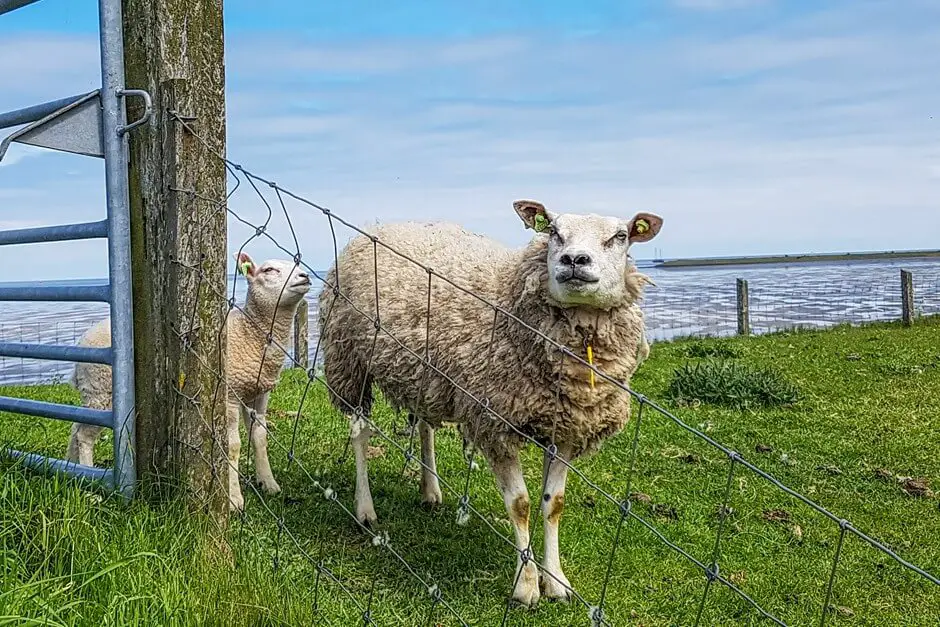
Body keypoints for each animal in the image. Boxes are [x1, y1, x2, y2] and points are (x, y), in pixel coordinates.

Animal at [70, 250, 312, 510]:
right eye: (269, 270)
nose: (305, 276)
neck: (250, 333)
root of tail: (83, 342)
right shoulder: (230, 394)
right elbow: (233, 446)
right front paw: (234, 498)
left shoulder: (258, 393)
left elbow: (259, 437)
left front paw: (268, 483)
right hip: (102, 389)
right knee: (84, 435)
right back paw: (87, 474)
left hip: (93, 392)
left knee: (76, 427)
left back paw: (74, 468)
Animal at [320, 201, 664, 608]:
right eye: (553, 231)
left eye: (621, 236)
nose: (574, 260)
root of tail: (384, 225)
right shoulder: (494, 421)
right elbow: (520, 504)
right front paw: (526, 587)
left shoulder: (566, 428)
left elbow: (555, 503)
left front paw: (557, 581)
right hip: (350, 361)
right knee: (359, 433)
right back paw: (365, 509)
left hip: (424, 373)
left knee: (424, 426)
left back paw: (430, 490)